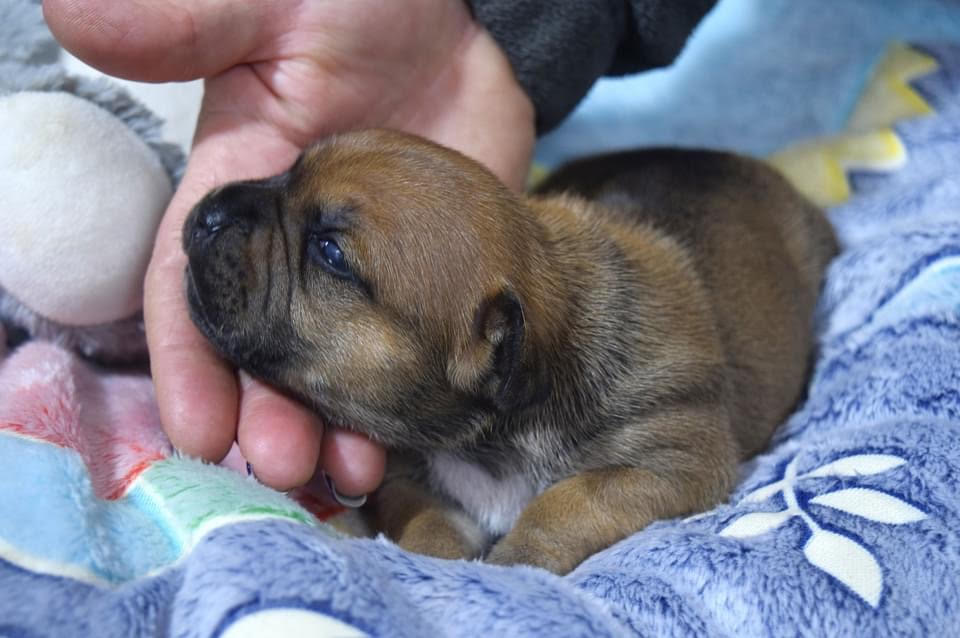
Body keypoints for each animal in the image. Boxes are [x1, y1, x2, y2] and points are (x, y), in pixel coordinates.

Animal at [184, 130, 836, 576]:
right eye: (290, 168)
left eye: (330, 253)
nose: (206, 212)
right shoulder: (404, 470)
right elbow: (425, 515)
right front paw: (434, 562)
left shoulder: (674, 458)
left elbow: (571, 501)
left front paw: (516, 559)